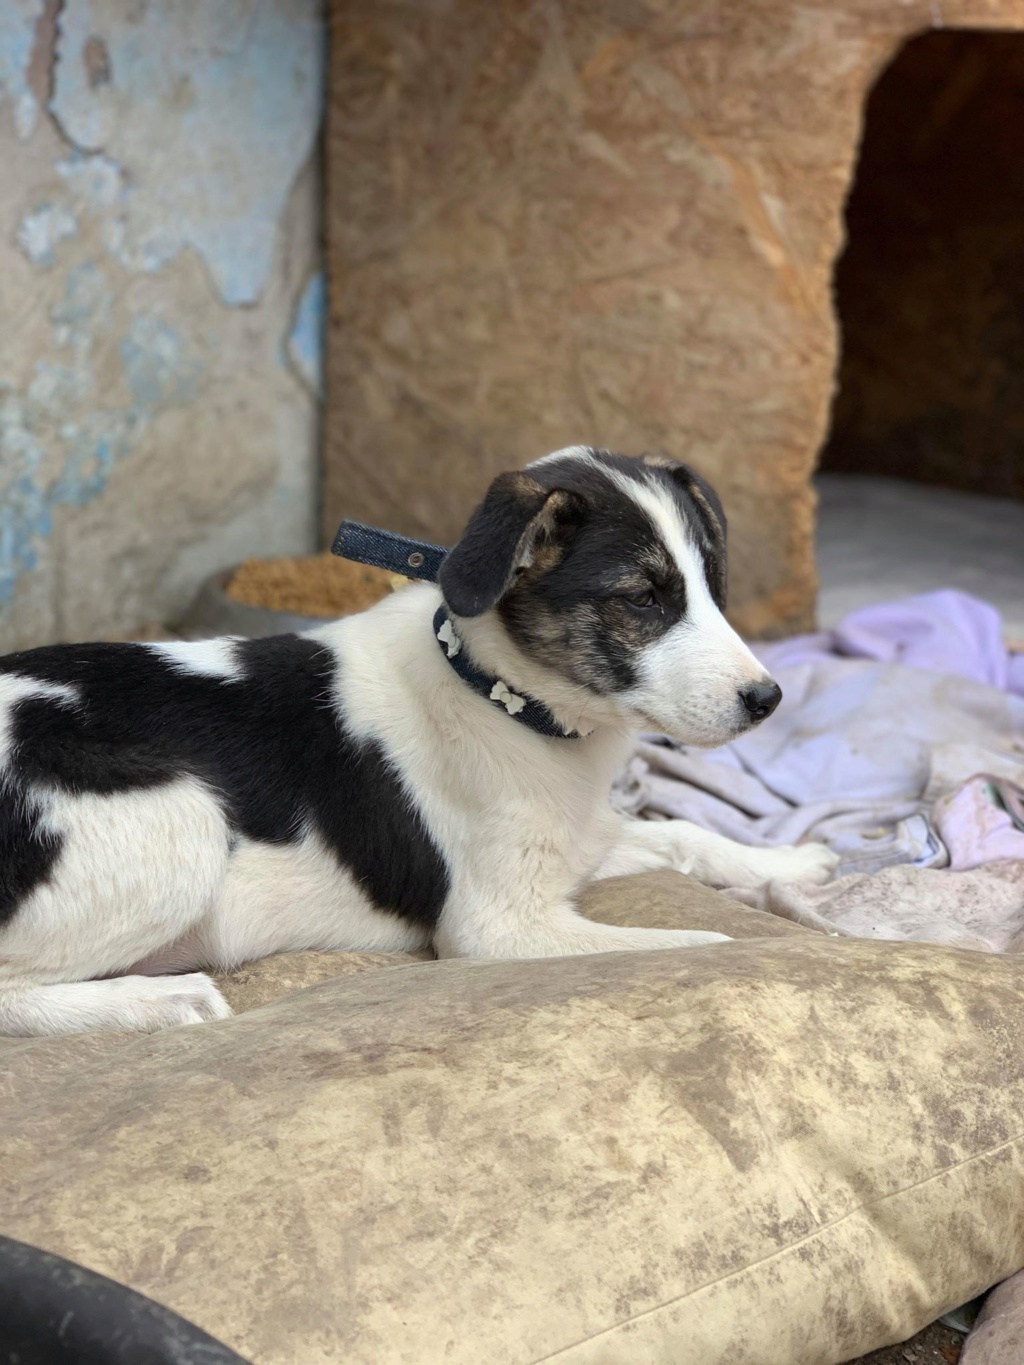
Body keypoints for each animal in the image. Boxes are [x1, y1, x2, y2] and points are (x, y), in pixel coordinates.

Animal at [0, 447, 835, 1031]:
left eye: (711, 590)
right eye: (642, 598)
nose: (768, 699)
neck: (504, 697)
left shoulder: (580, 840)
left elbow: (688, 833)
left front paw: (789, 861)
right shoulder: (496, 928)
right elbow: (701, 941)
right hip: (182, 819)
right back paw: (156, 1001)